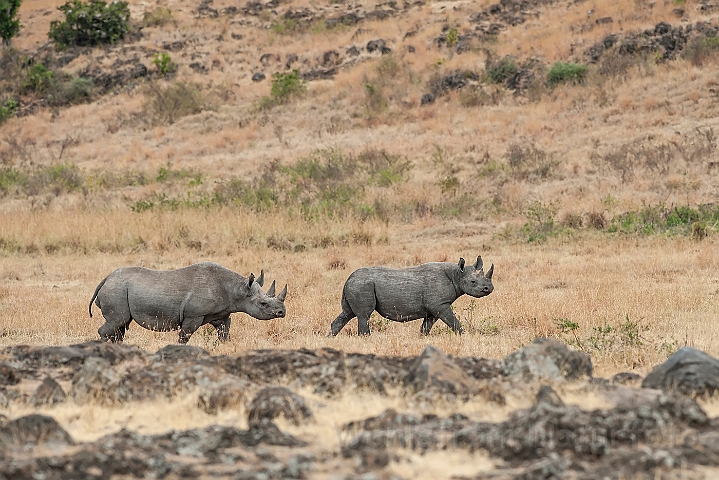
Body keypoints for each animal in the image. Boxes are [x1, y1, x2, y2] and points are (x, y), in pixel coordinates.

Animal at [87, 262, 284, 344]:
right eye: (263, 304)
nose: (282, 312)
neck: (238, 290)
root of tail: (106, 279)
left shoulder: (220, 313)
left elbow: (224, 332)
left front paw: (225, 346)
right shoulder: (194, 315)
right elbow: (185, 336)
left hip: (119, 290)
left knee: (120, 326)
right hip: (117, 290)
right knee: (116, 322)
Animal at [330, 256, 496, 336]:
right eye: (473, 282)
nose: (489, 288)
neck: (456, 274)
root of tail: (348, 279)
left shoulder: (434, 307)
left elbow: (426, 326)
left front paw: (422, 338)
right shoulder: (440, 304)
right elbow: (453, 322)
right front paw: (463, 336)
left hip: (356, 285)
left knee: (347, 313)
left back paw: (330, 337)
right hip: (362, 285)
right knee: (363, 315)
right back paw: (366, 338)